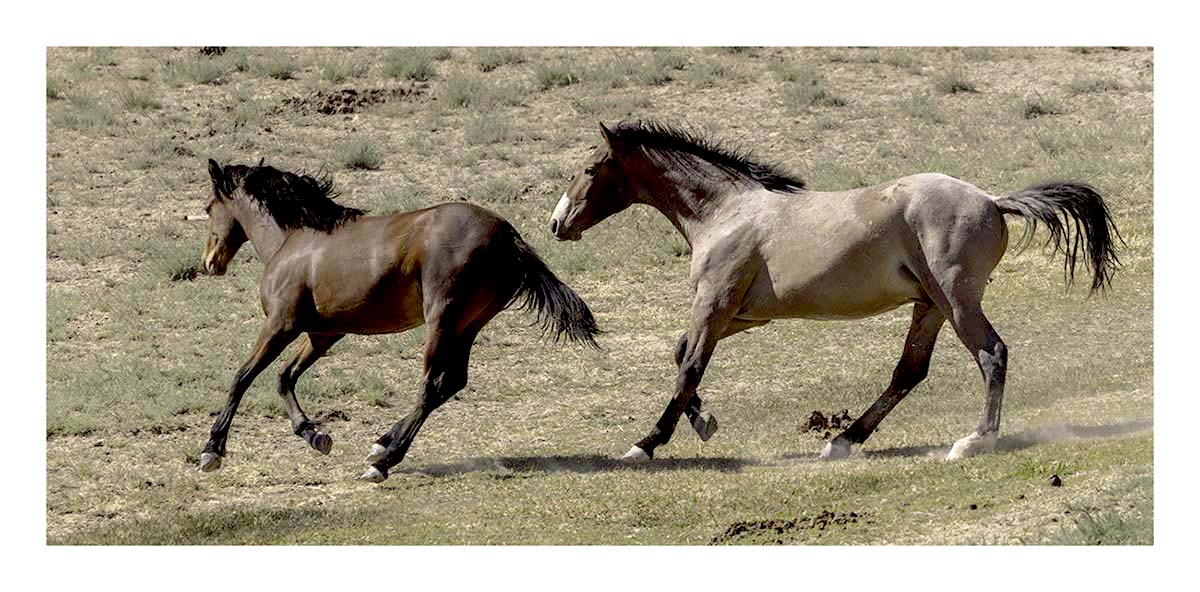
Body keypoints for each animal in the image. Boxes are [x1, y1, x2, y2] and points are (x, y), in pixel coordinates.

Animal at [196, 159, 599, 483]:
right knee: (452, 382)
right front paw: (315, 435)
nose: (210, 262)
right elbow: (285, 378)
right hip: (468, 326)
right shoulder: (324, 334)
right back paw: (381, 445)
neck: (293, 240)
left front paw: (211, 451)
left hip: (442, 319)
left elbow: (242, 378)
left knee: (432, 385)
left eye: (208, 207)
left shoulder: (281, 325)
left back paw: (383, 460)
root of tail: (506, 234)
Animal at [549, 121, 1121, 464]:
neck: (724, 212)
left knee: (991, 353)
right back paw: (843, 440)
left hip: (957, 302)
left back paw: (975, 440)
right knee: (909, 372)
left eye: (590, 169)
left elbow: (689, 366)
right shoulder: (742, 315)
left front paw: (645, 446)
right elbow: (679, 354)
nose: (556, 224)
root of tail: (993, 201)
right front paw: (705, 421)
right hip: (929, 306)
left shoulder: (715, 303)